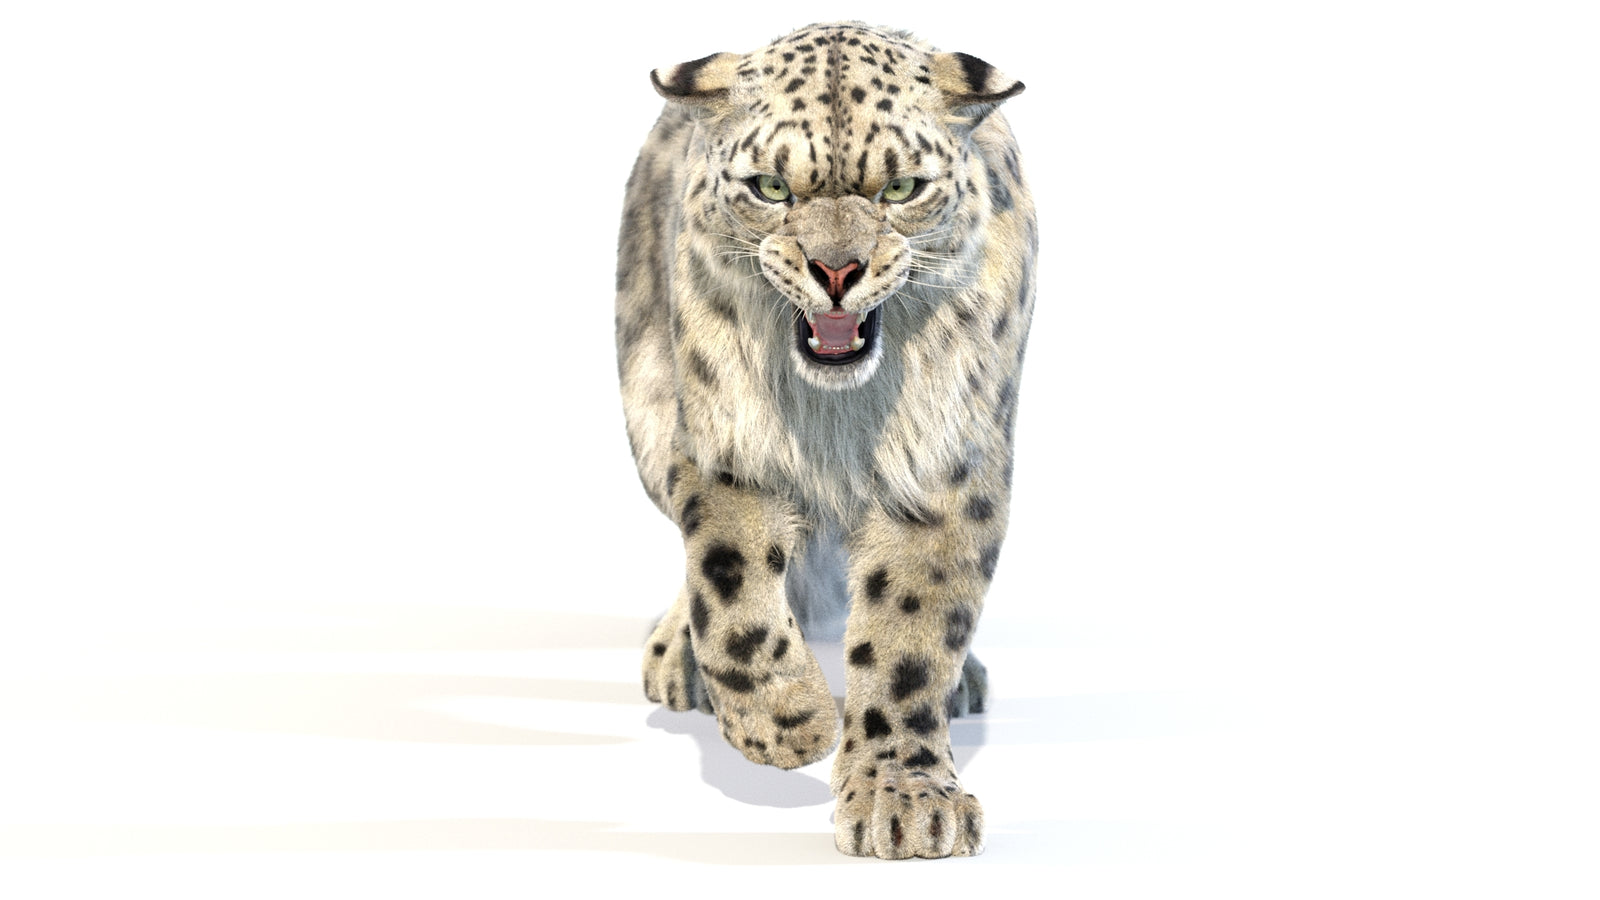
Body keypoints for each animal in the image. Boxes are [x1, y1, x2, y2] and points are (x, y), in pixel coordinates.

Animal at [615, 21, 1035, 860]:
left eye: (900, 190)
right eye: (771, 188)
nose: (836, 270)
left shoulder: (941, 464)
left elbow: (910, 629)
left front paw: (906, 799)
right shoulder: (726, 443)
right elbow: (732, 589)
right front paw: (791, 725)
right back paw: (679, 658)